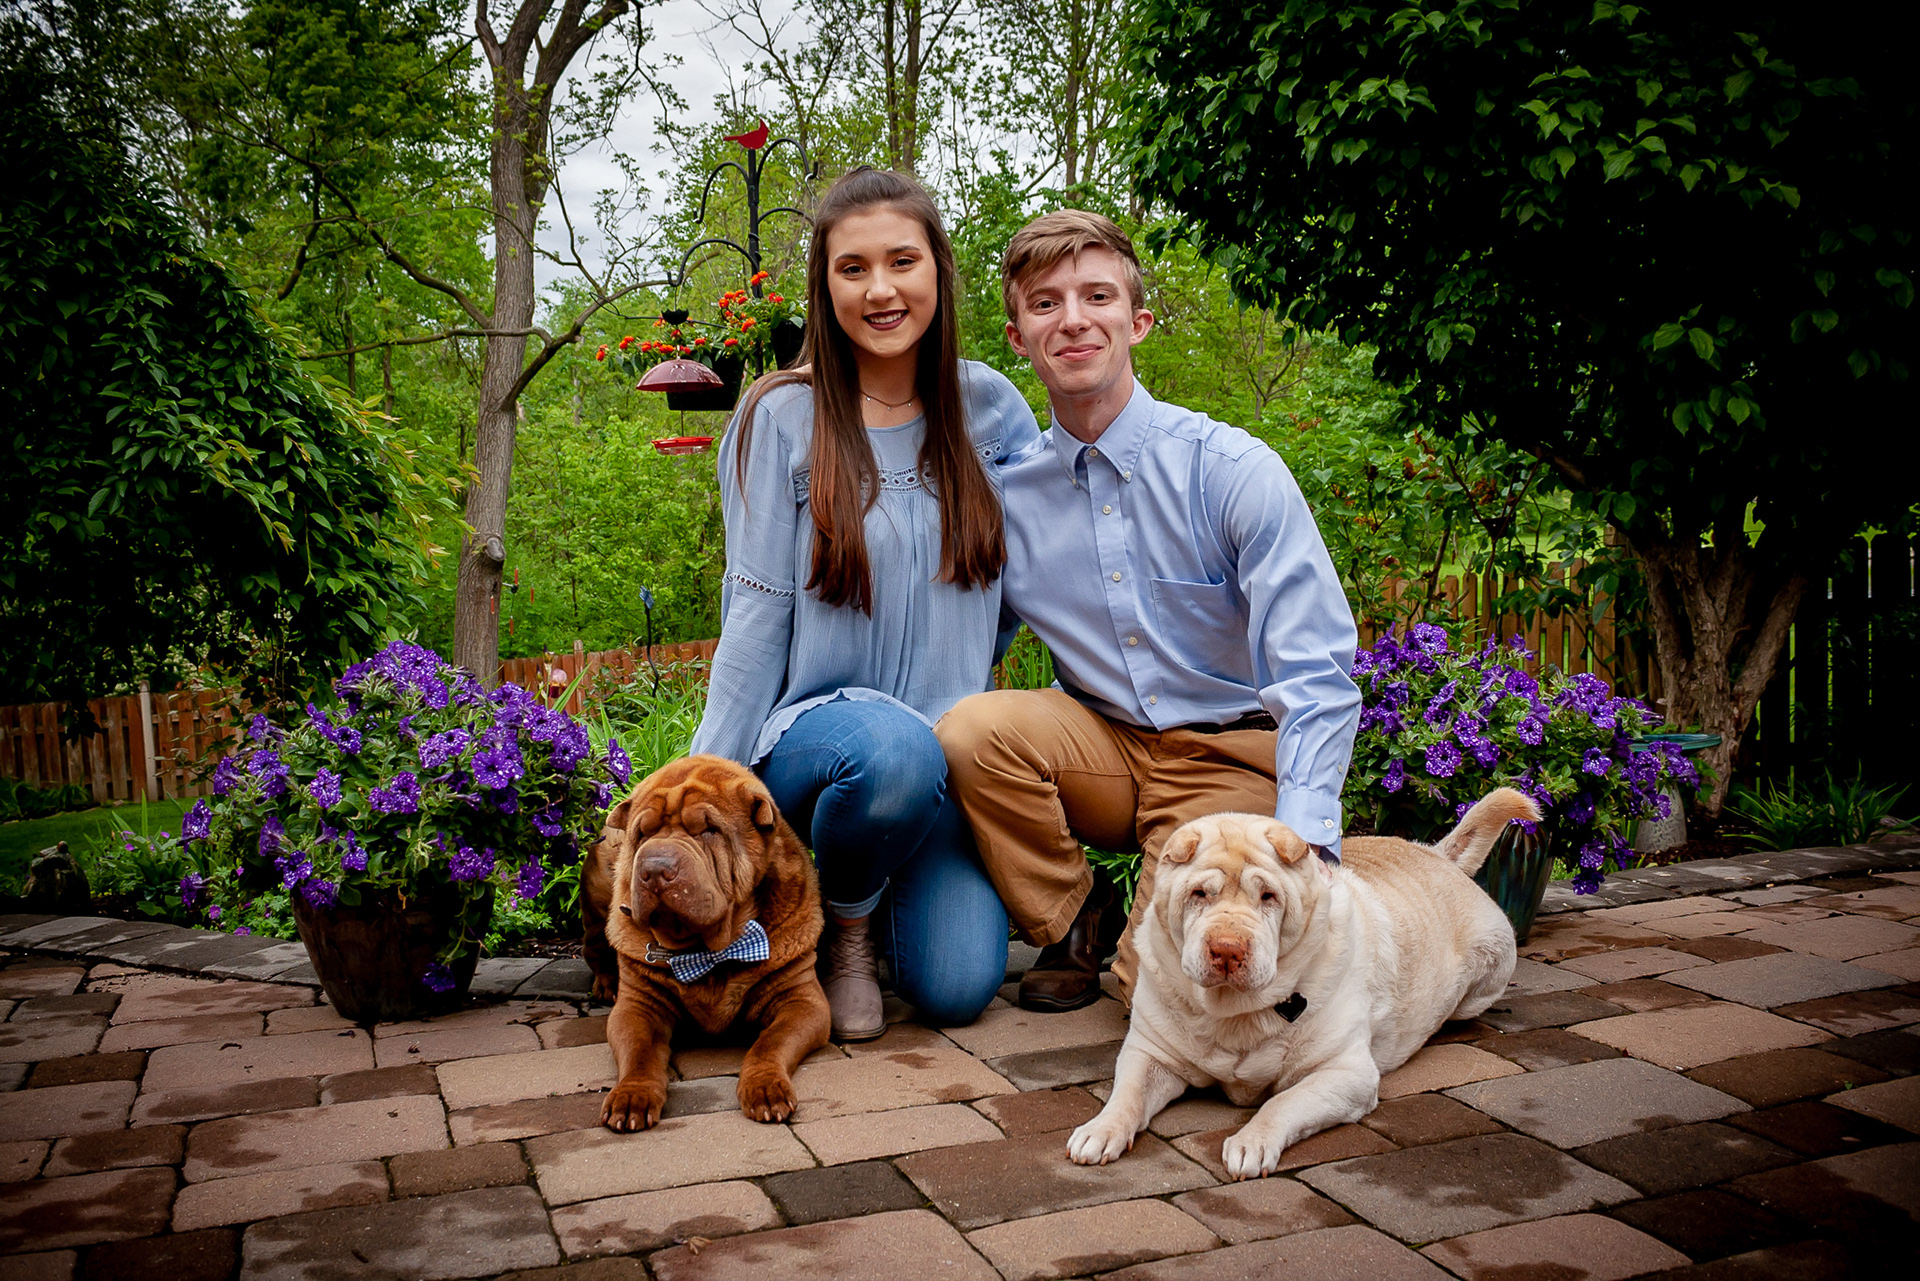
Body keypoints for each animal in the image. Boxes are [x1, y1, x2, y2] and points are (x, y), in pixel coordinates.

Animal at [585, 754, 831, 1132]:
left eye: (708, 830)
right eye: (643, 833)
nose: (655, 868)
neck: (710, 950)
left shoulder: (802, 1000)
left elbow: (769, 1044)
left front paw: (766, 1089)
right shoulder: (638, 1006)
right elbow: (639, 1052)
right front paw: (631, 1097)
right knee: (595, 945)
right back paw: (605, 984)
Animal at [1068, 788, 1538, 1179]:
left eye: (1268, 897)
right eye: (1199, 894)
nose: (1226, 949)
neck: (1233, 1013)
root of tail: (1437, 853)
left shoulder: (1346, 1074)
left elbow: (1282, 1102)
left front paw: (1252, 1143)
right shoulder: (1149, 1053)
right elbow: (1126, 1095)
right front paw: (1099, 1131)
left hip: (1492, 966)